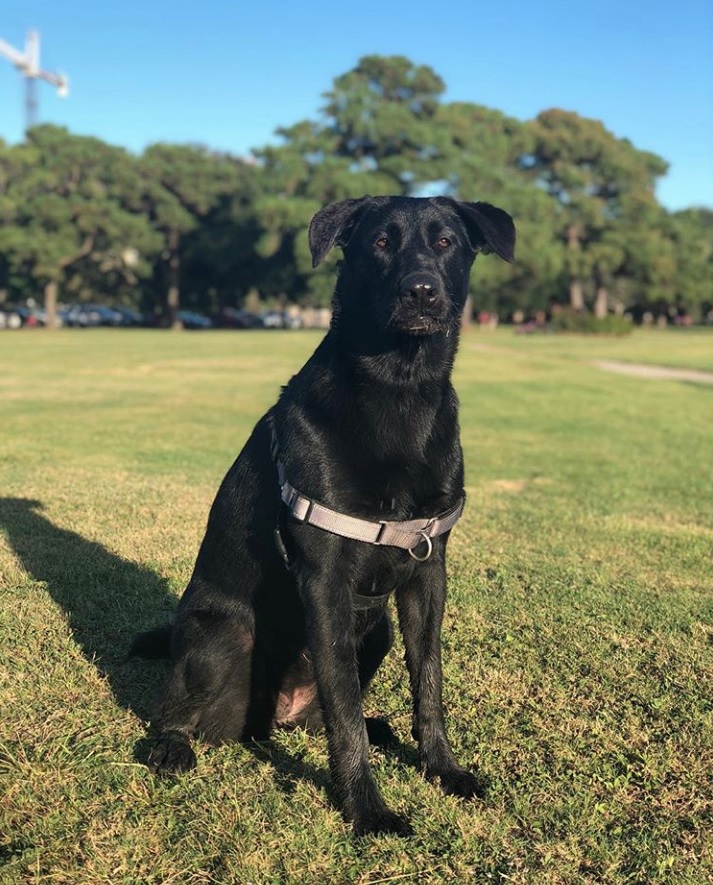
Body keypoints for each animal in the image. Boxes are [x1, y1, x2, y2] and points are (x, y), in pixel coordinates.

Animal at [132, 195, 512, 836]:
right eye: (380, 243)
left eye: (446, 243)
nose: (421, 291)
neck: (400, 390)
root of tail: (272, 717)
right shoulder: (326, 580)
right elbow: (345, 708)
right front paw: (366, 808)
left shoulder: (427, 575)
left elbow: (427, 683)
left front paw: (441, 768)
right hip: (220, 635)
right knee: (175, 707)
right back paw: (172, 745)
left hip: (377, 628)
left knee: (323, 716)